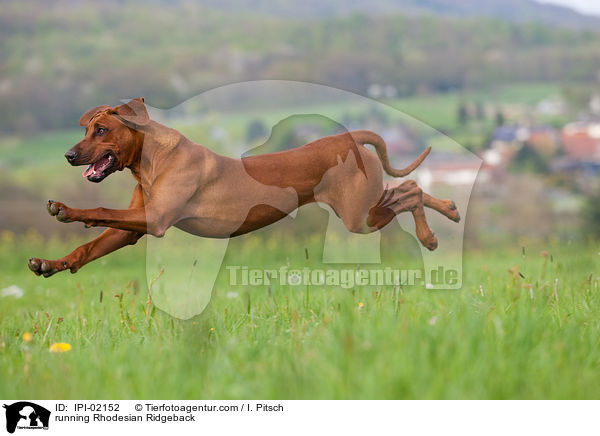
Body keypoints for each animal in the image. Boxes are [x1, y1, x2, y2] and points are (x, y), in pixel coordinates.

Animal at [28, 98, 460, 276]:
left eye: (101, 130)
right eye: (86, 128)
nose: (68, 154)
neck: (150, 161)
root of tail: (350, 138)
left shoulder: (157, 218)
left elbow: (100, 210)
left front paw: (66, 210)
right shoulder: (133, 226)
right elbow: (87, 248)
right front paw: (50, 264)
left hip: (359, 215)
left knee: (411, 190)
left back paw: (432, 232)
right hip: (363, 208)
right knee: (410, 189)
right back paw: (447, 213)